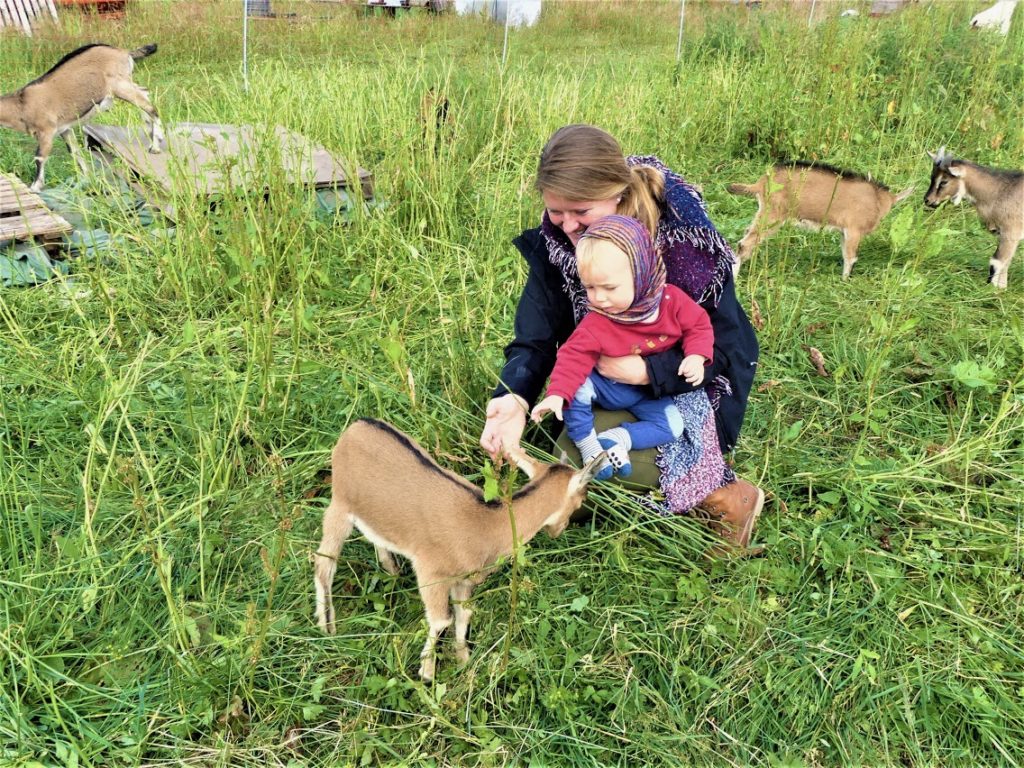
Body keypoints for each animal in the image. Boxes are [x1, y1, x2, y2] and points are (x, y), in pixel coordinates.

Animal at [0, 43, 164, 192]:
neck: (21, 105)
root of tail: (124, 52)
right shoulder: (64, 129)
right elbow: (76, 152)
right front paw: (87, 179)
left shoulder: (47, 131)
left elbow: (39, 157)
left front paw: (35, 187)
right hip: (125, 85)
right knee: (144, 93)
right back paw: (150, 131)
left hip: (121, 86)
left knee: (151, 107)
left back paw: (156, 145)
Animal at [313, 418, 606, 681]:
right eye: (582, 498)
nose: (560, 530)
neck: (486, 524)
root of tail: (356, 426)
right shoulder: (431, 573)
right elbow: (442, 620)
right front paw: (427, 674)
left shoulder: (464, 581)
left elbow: (464, 614)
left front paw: (463, 660)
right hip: (339, 505)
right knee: (323, 562)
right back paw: (327, 627)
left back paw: (391, 570)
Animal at [728, 162, 914, 279]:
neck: (877, 200)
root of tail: (761, 183)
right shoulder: (854, 230)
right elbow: (850, 257)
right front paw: (844, 281)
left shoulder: (843, 232)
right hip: (773, 216)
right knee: (744, 243)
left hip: (764, 213)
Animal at [925, 147, 1024, 289]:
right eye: (932, 176)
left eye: (944, 181)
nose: (927, 200)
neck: (1001, 192)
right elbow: (1006, 263)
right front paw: (1002, 287)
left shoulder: (1011, 232)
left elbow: (997, 262)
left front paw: (993, 289)